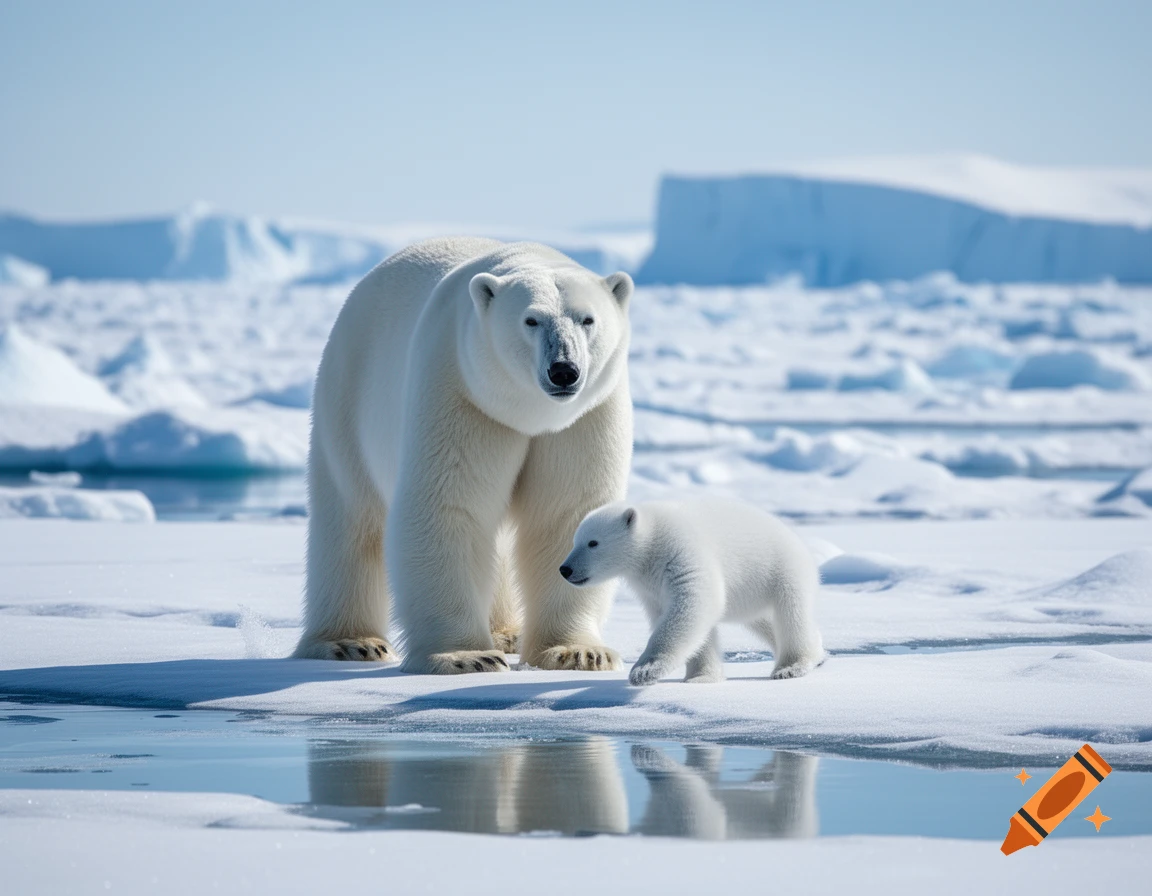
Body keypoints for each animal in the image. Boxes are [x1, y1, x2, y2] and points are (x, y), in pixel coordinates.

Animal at [295, 237, 634, 674]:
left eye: (587, 319)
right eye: (530, 320)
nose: (564, 370)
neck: (528, 415)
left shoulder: (584, 418)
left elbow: (567, 513)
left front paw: (578, 652)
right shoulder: (460, 391)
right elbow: (449, 507)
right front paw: (466, 656)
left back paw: (507, 633)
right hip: (348, 399)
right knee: (351, 521)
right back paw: (350, 642)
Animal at [559, 498, 825, 685]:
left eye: (593, 542)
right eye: (574, 541)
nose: (565, 569)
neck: (651, 542)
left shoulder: (681, 552)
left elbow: (692, 604)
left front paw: (645, 670)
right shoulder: (651, 588)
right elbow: (690, 620)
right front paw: (701, 677)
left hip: (782, 570)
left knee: (791, 615)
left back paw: (791, 666)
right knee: (763, 620)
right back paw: (819, 655)